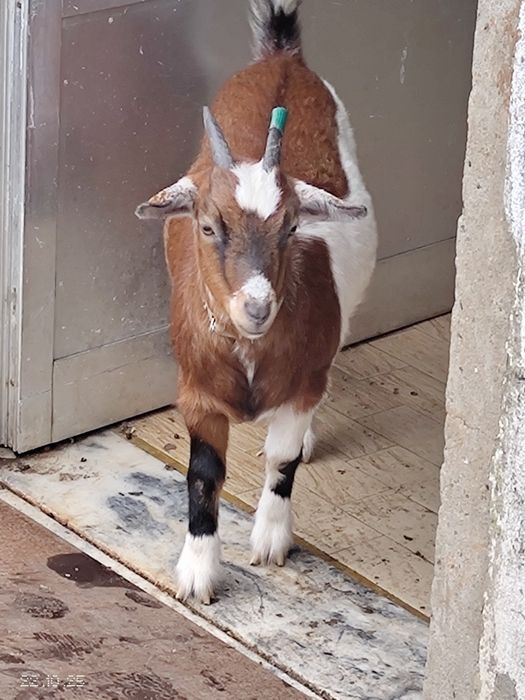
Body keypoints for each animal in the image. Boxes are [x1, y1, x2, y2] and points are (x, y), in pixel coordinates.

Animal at [136, 0, 377, 603]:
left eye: (291, 227)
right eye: (206, 226)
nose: (257, 307)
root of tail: (281, 59)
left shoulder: (301, 384)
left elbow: (282, 459)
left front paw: (270, 540)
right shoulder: (196, 392)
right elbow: (204, 474)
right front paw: (198, 571)